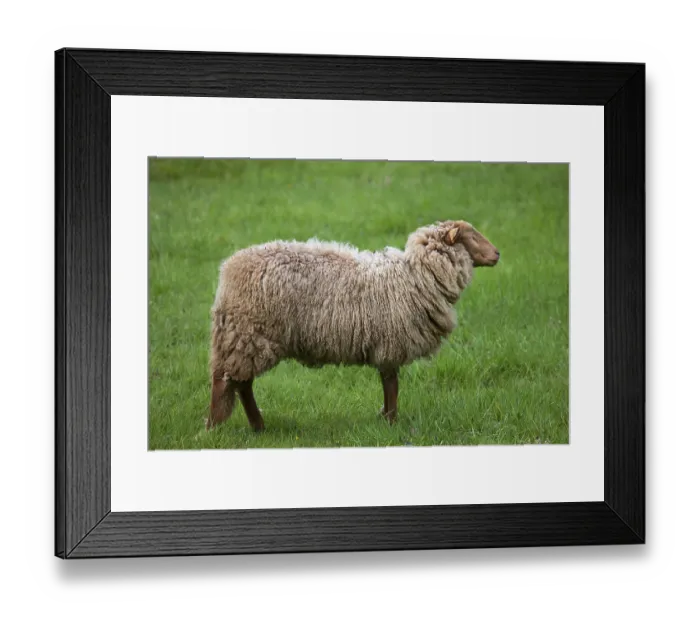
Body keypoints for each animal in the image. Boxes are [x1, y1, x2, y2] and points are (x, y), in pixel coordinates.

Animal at [206, 220, 500, 432]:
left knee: (242, 384)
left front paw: (385, 418)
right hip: (246, 336)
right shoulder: (390, 342)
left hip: (245, 340)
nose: (497, 254)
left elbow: (388, 383)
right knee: (227, 382)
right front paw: (391, 422)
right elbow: (391, 384)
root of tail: (227, 269)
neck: (414, 277)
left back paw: (257, 426)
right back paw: (213, 427)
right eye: (472, 236)